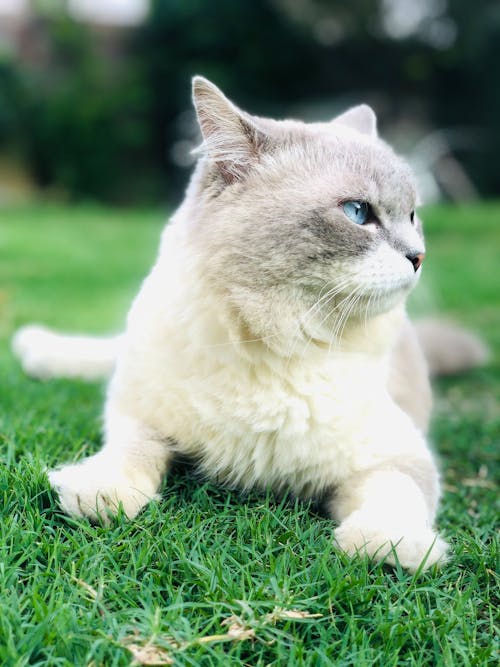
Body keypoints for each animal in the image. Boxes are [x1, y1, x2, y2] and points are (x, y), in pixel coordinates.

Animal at [11, 75, 486, 572]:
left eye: (413, 216)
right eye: (358, 212)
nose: (418, 256)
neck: (278, 339)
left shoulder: (396, 455)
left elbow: (397, 495)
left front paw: (388, 547)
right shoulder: (140, 416)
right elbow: (128, 452)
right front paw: (98, 492)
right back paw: (35, 348)